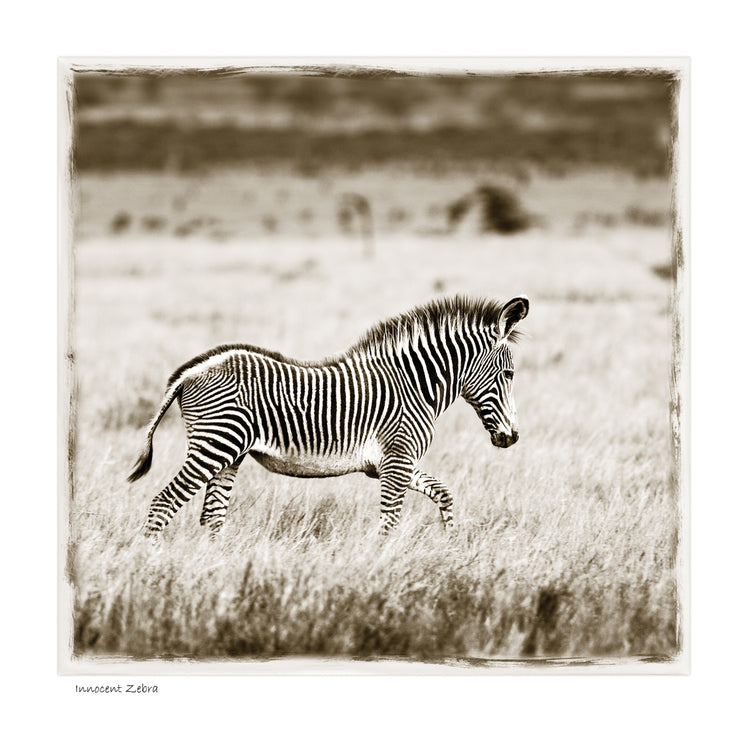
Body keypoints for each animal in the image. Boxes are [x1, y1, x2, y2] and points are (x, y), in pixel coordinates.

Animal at [128, 295, 529, 538]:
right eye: (510, 374)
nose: (511, 437)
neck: (416, 384)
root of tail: (190, 371)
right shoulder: (397, 461)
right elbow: (389, 522)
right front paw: (384, 569)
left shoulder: (392, 464)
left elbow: (444, 494)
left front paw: (451, 544)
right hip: (215, 444)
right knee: (164, 503)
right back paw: (154, 566)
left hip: (230, 453)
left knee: (212, 515)